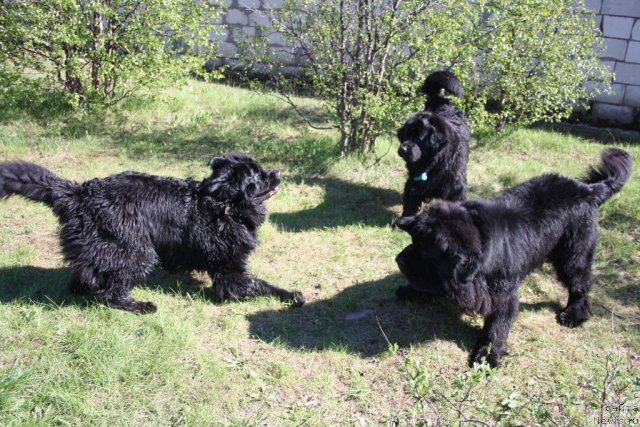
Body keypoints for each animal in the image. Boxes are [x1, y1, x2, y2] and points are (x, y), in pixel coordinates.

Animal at [0, 154, 304, 314]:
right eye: (258, 175)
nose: (278, 172)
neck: (224, 206)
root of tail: (79, 193)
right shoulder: (231, 274)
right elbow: (257, 285)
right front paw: (289, 295)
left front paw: (290, 293)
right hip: (137, 251)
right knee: (111, 292)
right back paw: (140, 305)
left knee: (87, 274)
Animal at [396, 71, 470, 217]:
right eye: (406, 134)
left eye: (419, 137)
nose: (403, 149)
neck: (436, 162)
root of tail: (442, 100)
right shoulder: (414, 183)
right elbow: (410, 203)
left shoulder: (457, 188)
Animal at [396, 150, 632, 368]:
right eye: (414, 241)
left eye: (426, 251)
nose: (399, 260)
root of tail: (586, 190)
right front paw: (412, 291)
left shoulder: (503, 293)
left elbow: (497, 326)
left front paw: (487, 356)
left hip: (573, 255)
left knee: (579, 284)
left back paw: (574, 315)